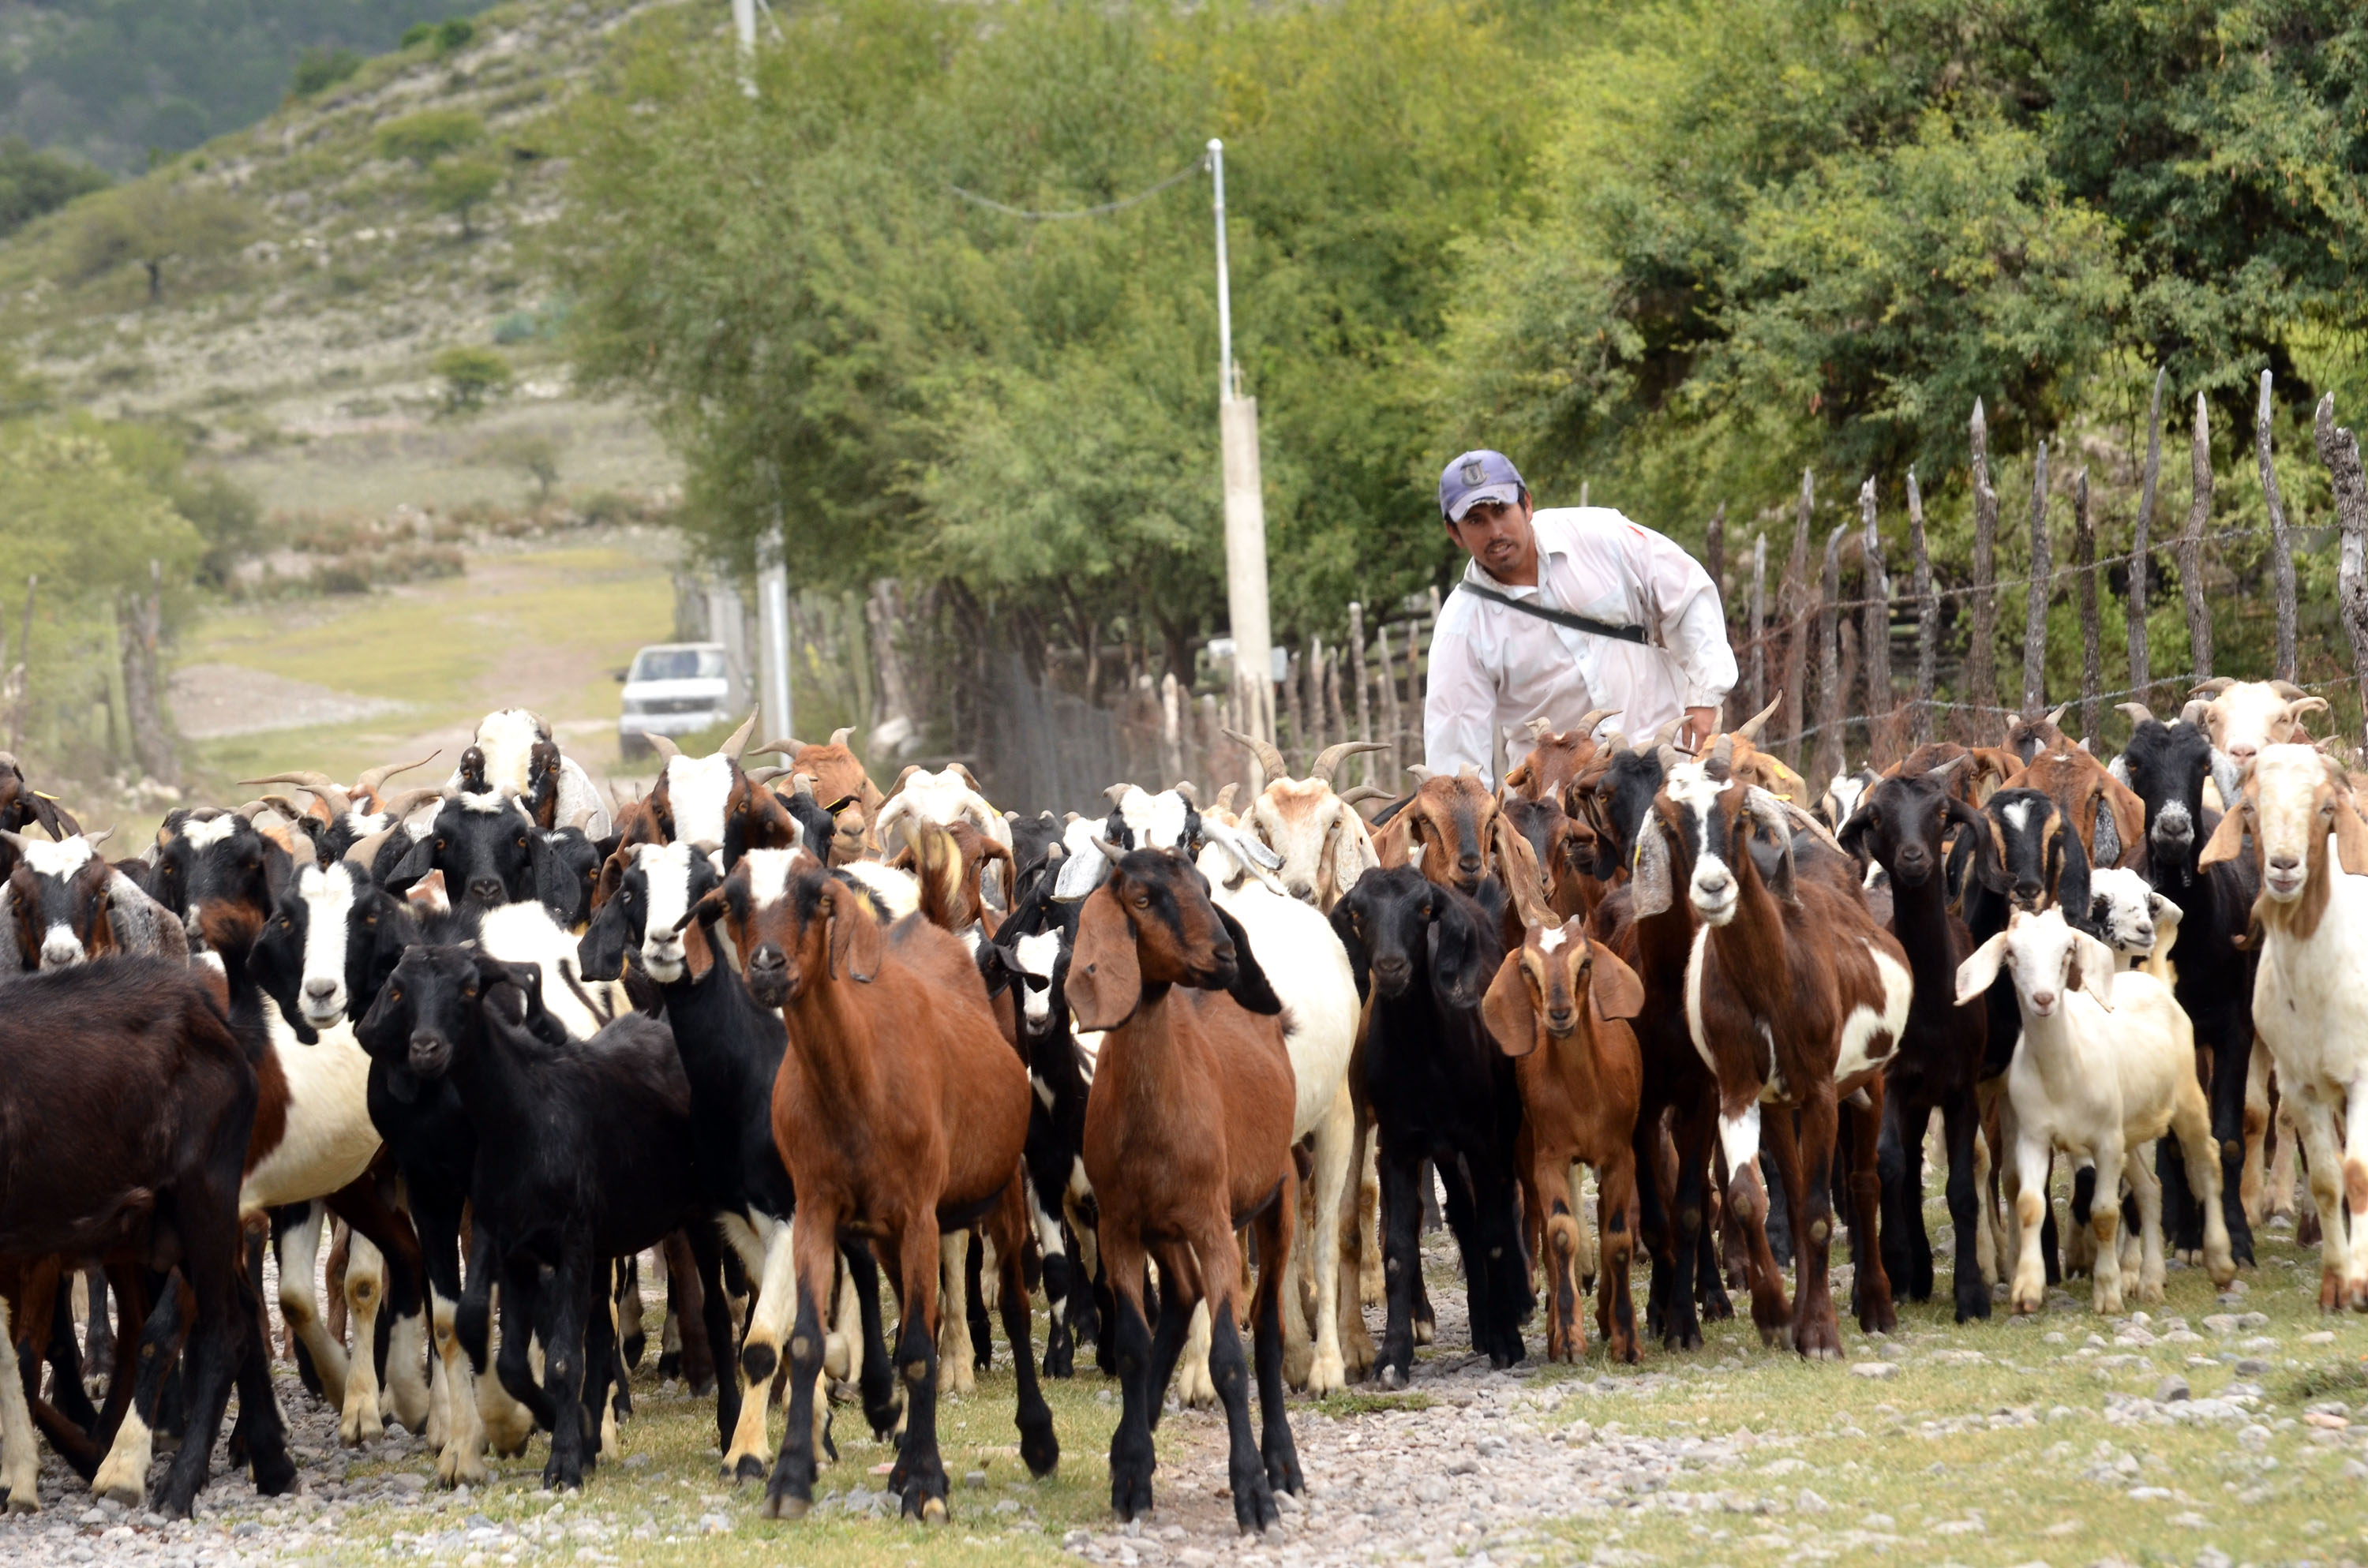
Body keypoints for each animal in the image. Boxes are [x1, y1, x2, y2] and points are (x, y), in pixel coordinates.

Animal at [701, 862, 1056, 1525]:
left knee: (1016, 1308)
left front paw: (927, 1486)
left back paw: (1038, 1440)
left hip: (997, 1190)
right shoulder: (815, 1208)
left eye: (815, 899)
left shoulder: (919, 1212)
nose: (767, 965)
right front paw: (791, 1475)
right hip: (892, 1227)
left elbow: (918, 1348)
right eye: (733, 903)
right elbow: (807, 1340)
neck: (858, 1079)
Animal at [1070, 848, 1307, 1534]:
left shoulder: (1211, 1221)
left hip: (1275, 1196)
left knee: (1269, 1328)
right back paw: (1133, 1444)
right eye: (1143, 899)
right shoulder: (1120, 1227)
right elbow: (1130, 1346)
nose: (1225, 952)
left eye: (1205, 886)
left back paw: (1284, 1465)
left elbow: (1230, 1356)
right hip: (1163, 1227)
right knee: (1179, 1295)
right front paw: (1130, 1474)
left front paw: (1253, 1491)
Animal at [1326, 871, 1525, 1392]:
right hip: (1442, 1151)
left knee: (1498, 1208)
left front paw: (1508, 1343)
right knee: (1463, 1214)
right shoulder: (1402, 1143)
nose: (1391, 967)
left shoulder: (1481, 1138)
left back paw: (1511, 1309)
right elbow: (1398, 1247)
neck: (1424, 1059)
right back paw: (1480, 1323)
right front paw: (1392, 1357)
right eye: (1358, 912)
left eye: (1423, 910)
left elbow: (1494, 1231)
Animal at [1487, 923, 1639, 1364]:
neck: (1584, 1098)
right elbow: (1559, 1235)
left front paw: (1627, 1339)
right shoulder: (1549, 1158)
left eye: (1584, 962)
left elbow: (1618, 1238)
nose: (1558, 1013)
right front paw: (1569, 1339)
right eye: (1527, 967)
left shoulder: (1621, 1155)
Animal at [1951, 904, 2226, 1316]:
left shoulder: (2106, 1141)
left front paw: (2108, 1293)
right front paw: (2027, 1289)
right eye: (2011, 954)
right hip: (2131, 1130)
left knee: (2206, 1160)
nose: (2044, 999)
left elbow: (2105, 1213)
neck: (2062, 1070)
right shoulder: (2034, 1136)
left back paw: (2220, 1261)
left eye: (2067, 951)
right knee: (2150, 1188)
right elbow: (2030, 1205)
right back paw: (2150, 1281)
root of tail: (2154, 981)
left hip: (2185, 1098)